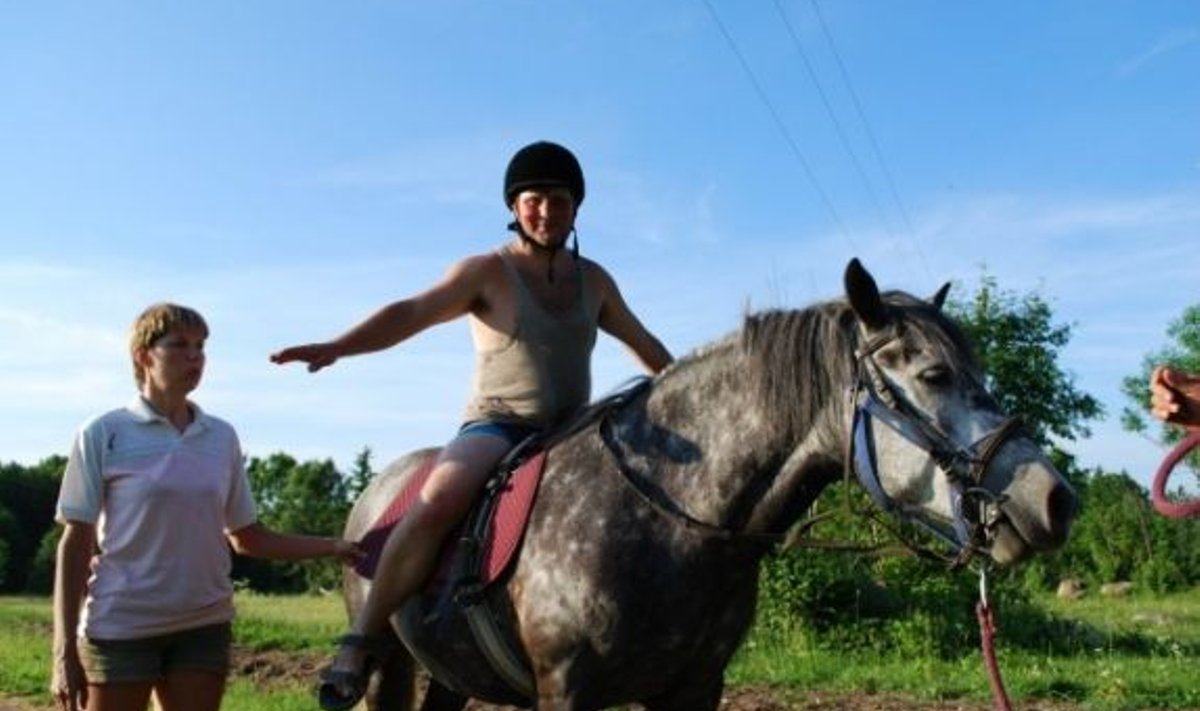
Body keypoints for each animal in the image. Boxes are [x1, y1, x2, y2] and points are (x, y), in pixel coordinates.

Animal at [338, 259, 1080, 711]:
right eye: (933, 375)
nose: (1055, 500)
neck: (664, 520)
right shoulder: (565, 688)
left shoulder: (695, 687)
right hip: (392, 663)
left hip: (448, 672)